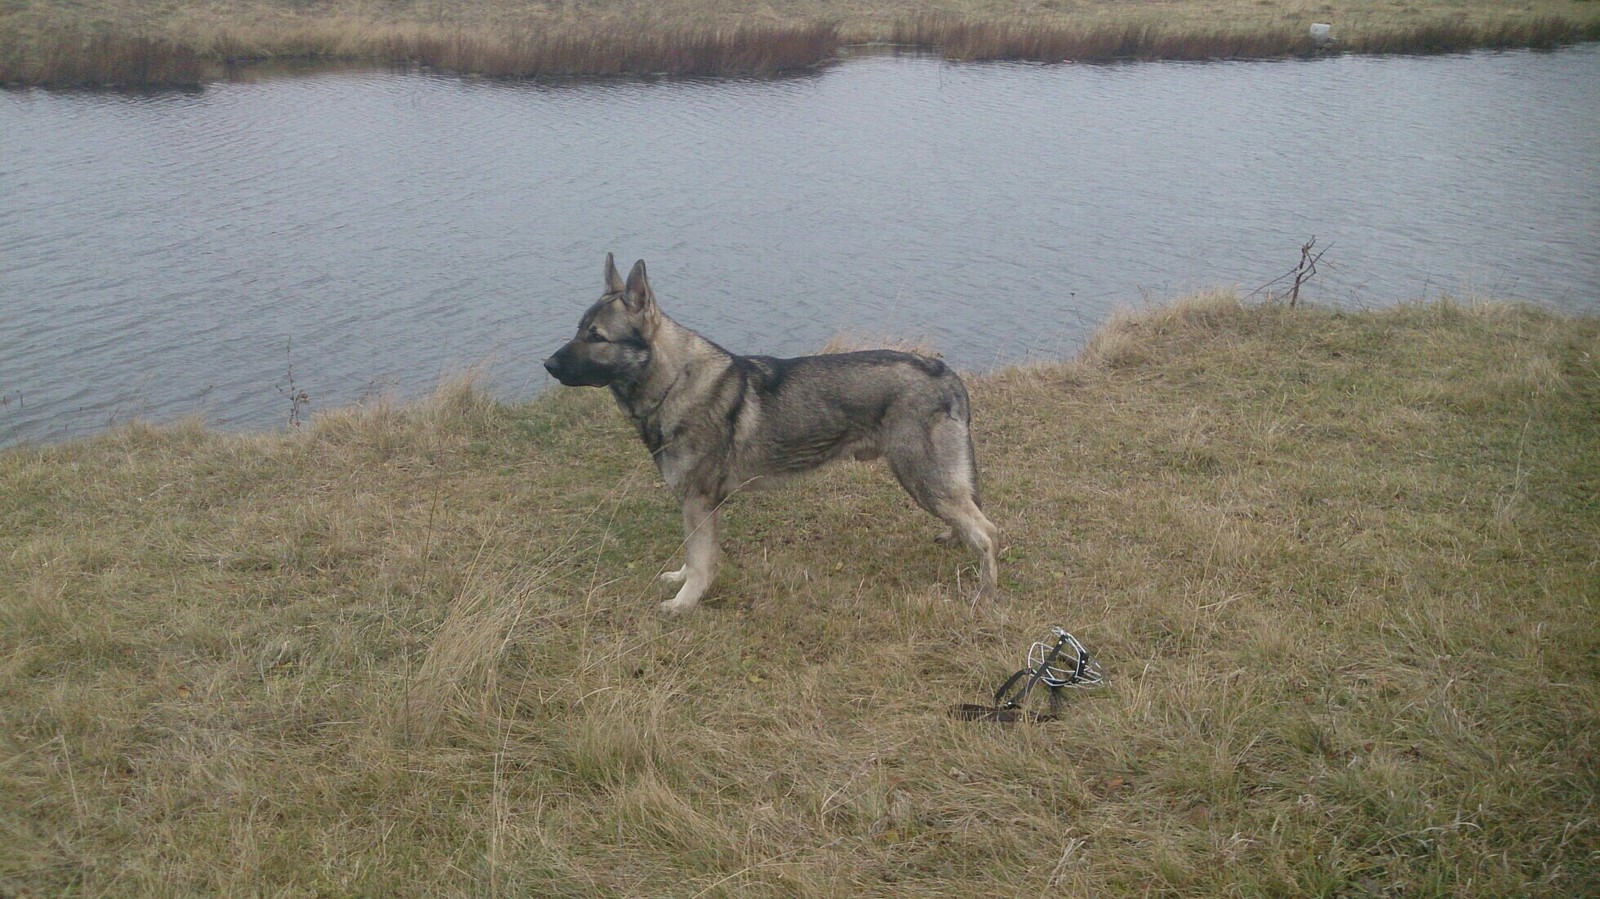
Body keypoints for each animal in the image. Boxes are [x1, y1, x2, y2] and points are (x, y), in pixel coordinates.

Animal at [550, 255, 998, 611]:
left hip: (923, 480)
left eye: (597, 337)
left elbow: (699, 561)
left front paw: (684, 603)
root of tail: (944, 374)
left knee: (987, 533)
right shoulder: (696, 506)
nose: (547, 365)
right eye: (577, 330)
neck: (674, 382)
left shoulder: (699, 502)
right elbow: (693, 558)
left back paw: (984, 595)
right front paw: (679, 582)